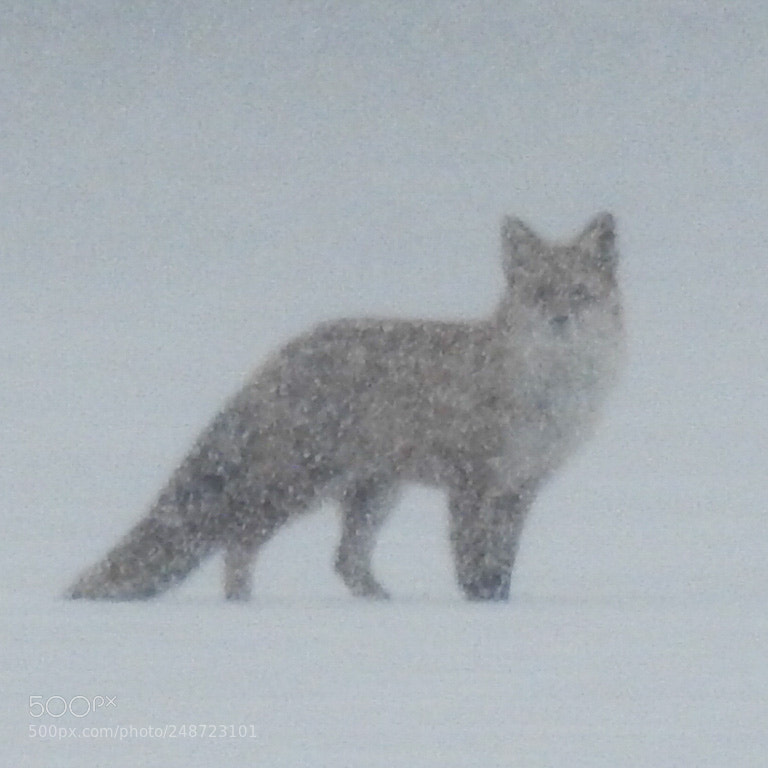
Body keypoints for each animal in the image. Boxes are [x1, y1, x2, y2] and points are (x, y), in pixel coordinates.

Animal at [67, 212, 624, 603]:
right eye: (541, 293)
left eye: (579, 293)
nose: (559, 321)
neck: (547, 399)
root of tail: (279, 355)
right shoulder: (471, 482)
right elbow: (472, 565)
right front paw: (478, 610)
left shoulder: (520, 488)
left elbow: (501, 568)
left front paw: (501, 610)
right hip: (298, 487)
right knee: (238, 543)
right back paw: (244, 610)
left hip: (373, 493)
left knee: (344, 563)